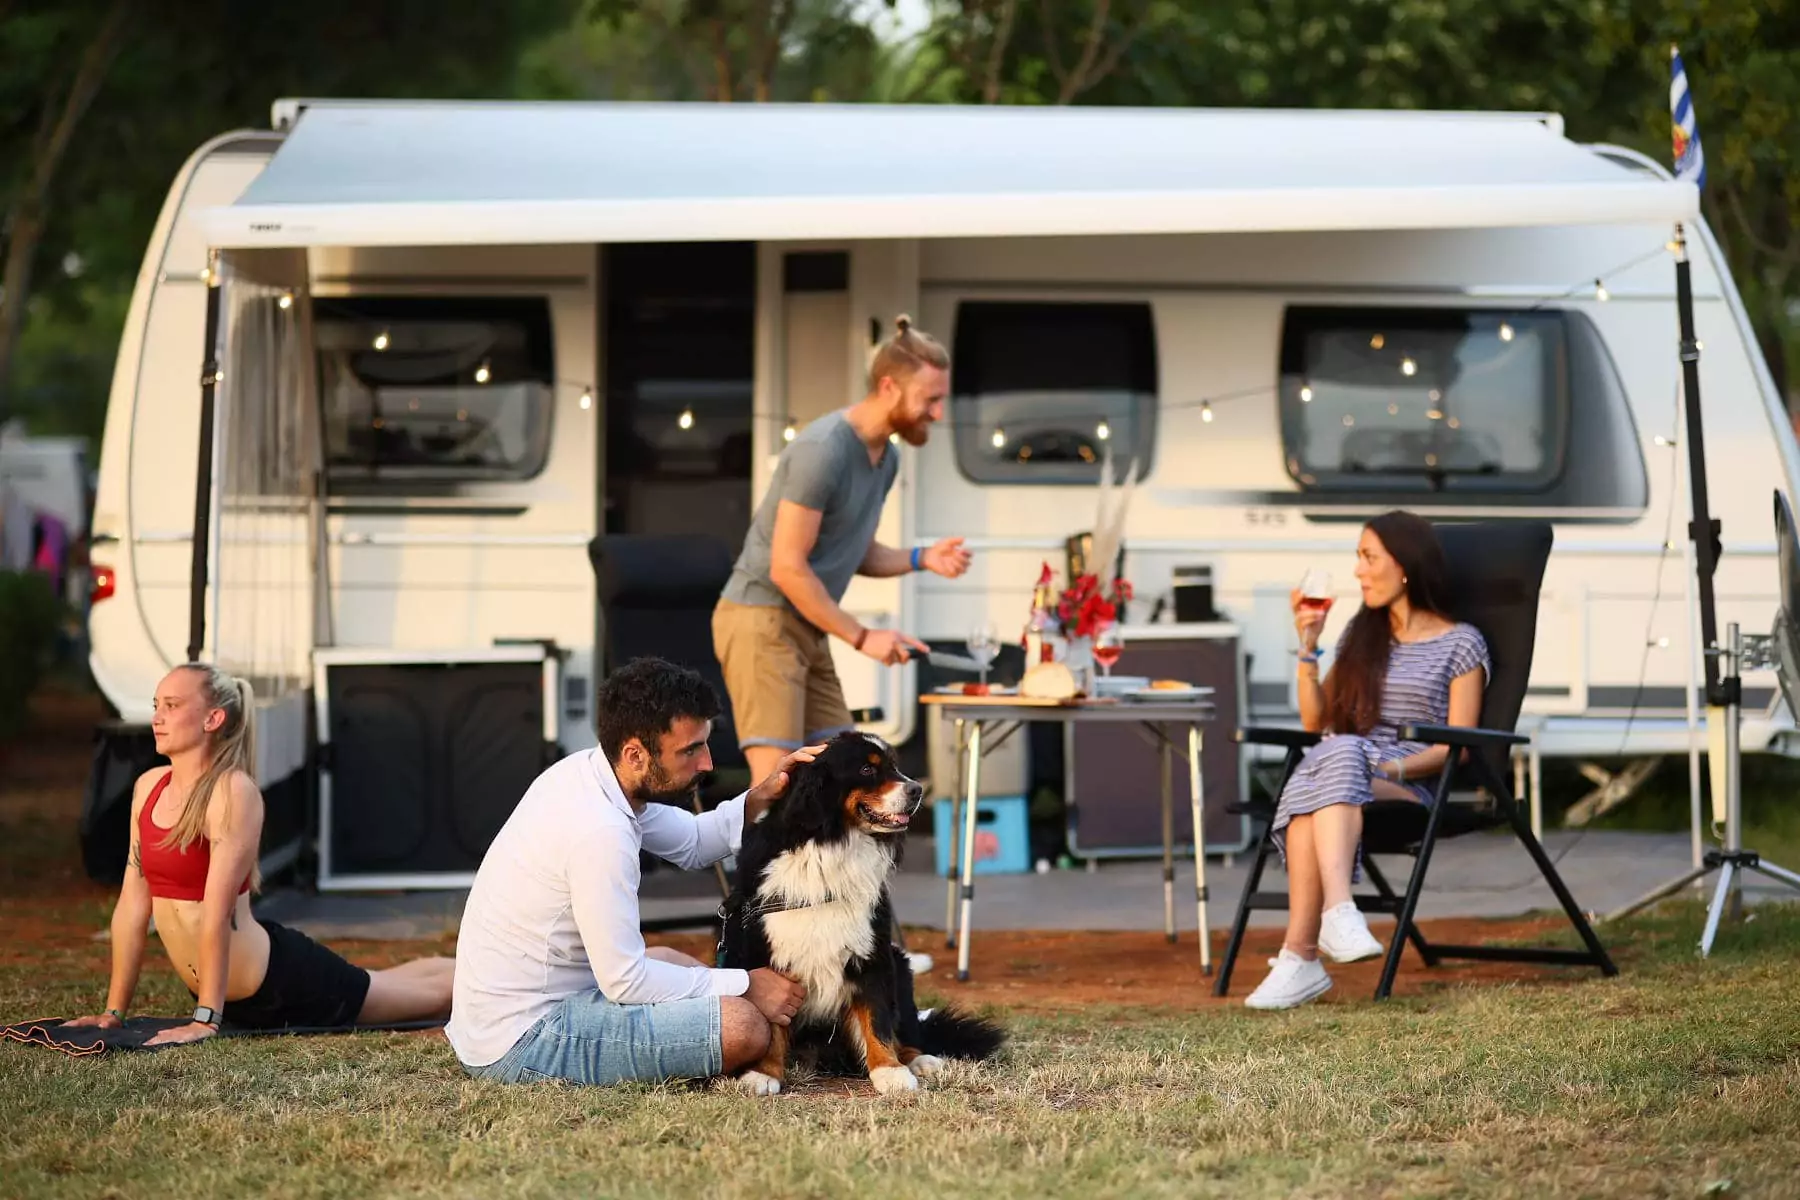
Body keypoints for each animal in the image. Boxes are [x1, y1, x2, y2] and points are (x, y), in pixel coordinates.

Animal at [712, 726, 1000, 1093]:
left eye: (894, 766)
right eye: (866, 769)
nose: (917, 789)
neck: (832, 845)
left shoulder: (871, 951)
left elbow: (877, 1017)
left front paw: (890, 1071)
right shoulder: (761, 952)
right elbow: (773, 1021)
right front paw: (763, 1073)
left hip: (901, 964)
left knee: (907, 1027)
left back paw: (921, 1060)